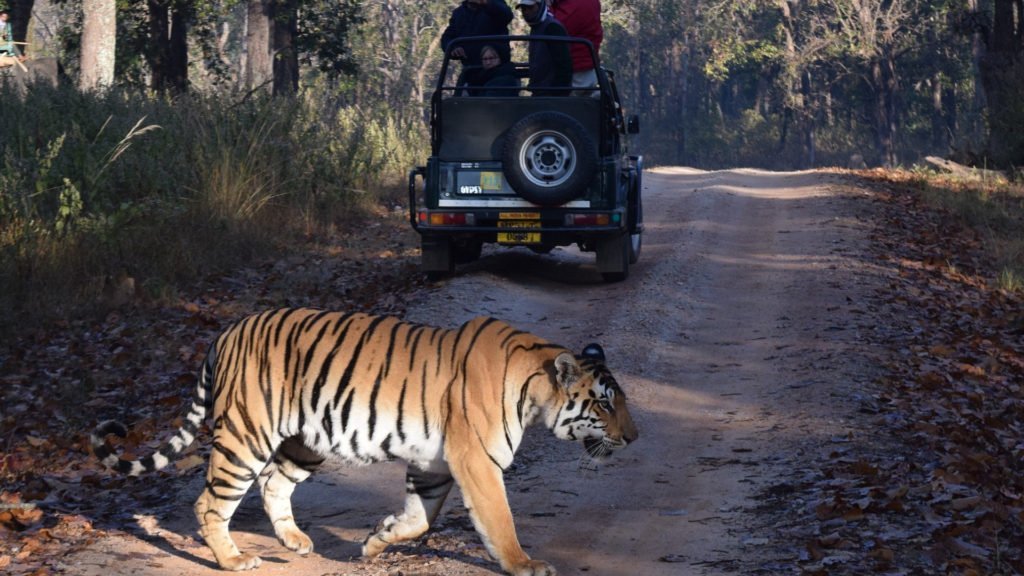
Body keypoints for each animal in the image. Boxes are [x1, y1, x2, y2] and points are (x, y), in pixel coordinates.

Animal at [92, 307, 634, 569]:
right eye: (604, 403)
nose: (633, 437)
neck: (534, 386)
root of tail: (225, 332)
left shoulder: (434, 464)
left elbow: (419, 520)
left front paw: (376, 542)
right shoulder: (477, 462)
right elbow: (499, 522)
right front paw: (525, 565)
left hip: (304, 442)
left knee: (273, 484)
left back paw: (295, 541)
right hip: (246, 436)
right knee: (210, 503)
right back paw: (233, 559)